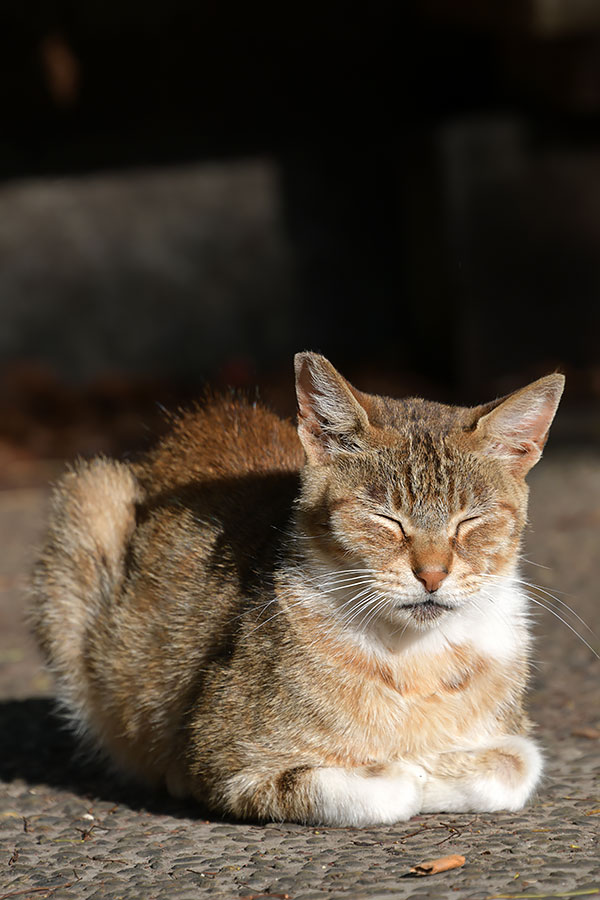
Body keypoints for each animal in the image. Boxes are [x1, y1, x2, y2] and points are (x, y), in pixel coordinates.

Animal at [30, 352, 564, 824]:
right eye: (385, 519)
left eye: (470, 521)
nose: (432, 575)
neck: (417, 657)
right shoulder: (220, 757)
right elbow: (383, 788)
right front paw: (410, 769)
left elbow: (519, 764)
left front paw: (437, 764)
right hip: (91, 496)